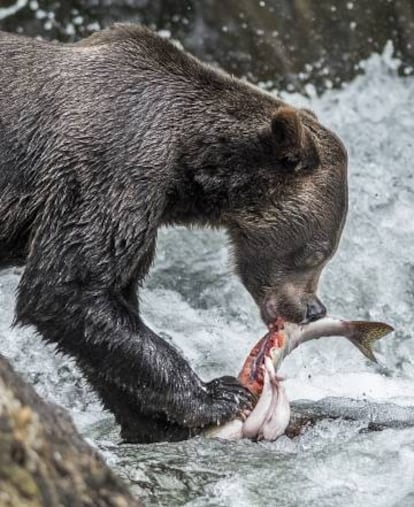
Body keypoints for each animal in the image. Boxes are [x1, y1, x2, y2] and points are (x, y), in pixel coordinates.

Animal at [0, 25, 348, 442]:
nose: (314, 309)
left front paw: (155, 422)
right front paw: (218, 395)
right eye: (317, 252)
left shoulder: (142, 218)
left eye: (327, 251)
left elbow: (109, 310)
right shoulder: (111, 171)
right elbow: (68, 287)